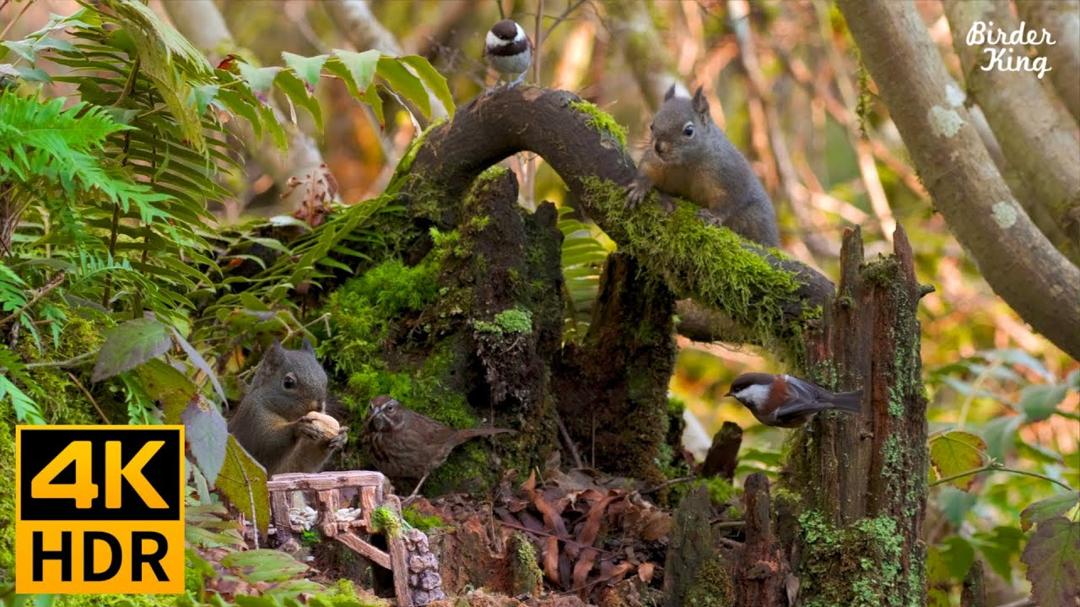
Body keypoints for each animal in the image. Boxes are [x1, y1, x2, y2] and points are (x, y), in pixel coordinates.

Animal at [227, 340, 348, 476]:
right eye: (288, 383)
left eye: (325, 380)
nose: (318, 406)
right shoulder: (253, 418)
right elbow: (267, 444)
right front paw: (299, 427)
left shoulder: (297, 461)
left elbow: (306, 464)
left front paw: (341, 437)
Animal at [626, 85, 781, 247]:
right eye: (651, 126)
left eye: (689, 131)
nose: (658, 147)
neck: (685, 164)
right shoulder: (656, 162)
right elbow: (647, 169)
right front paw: (639, 187)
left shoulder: (730, 174)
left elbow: (730, 201)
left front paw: (713, 215)